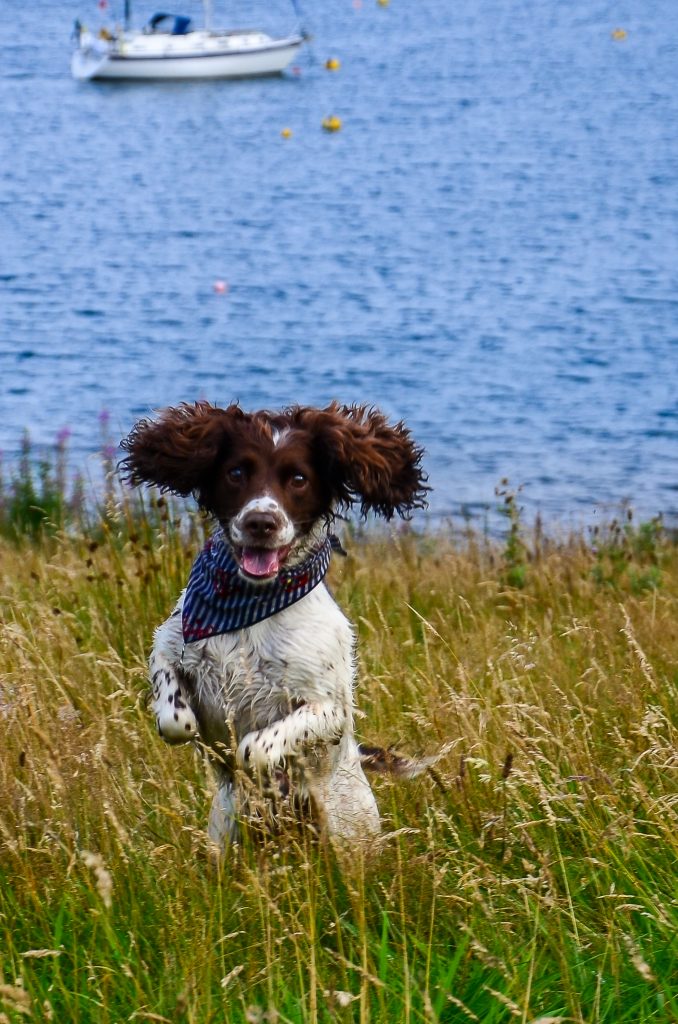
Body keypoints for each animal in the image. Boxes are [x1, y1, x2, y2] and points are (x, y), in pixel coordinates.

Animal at [120, 399, 430, 847]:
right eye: (236, 473)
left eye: (298, 479)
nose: (261, 523)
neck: (248, 603)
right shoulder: (168, 642)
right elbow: (175, 719)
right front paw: (198, 735)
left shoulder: (329, 709)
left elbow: (256, 747)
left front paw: (263, 773)